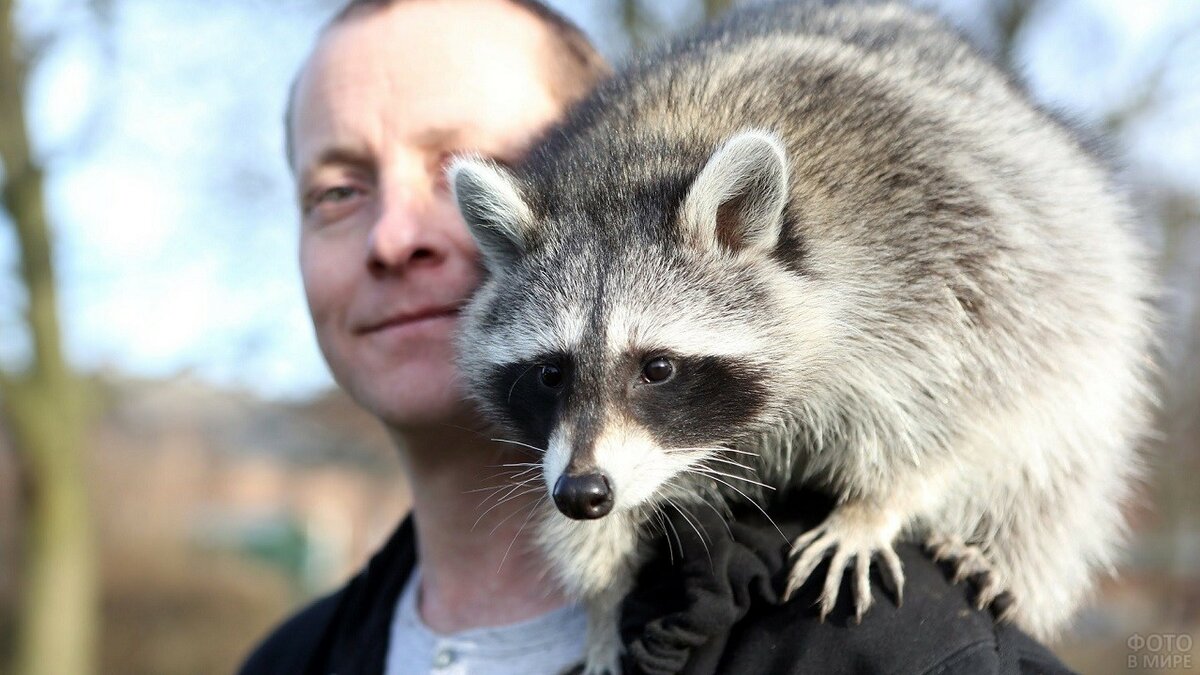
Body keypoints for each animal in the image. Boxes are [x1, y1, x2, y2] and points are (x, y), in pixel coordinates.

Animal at [448, 2, 1152, 667]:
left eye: (657, 369)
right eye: (550, 372)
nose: (583, 494)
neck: (642, 153)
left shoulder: (940, 253)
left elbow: (961, 400)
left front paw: (876, 503)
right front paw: (601, 596)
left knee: (1054, 462)